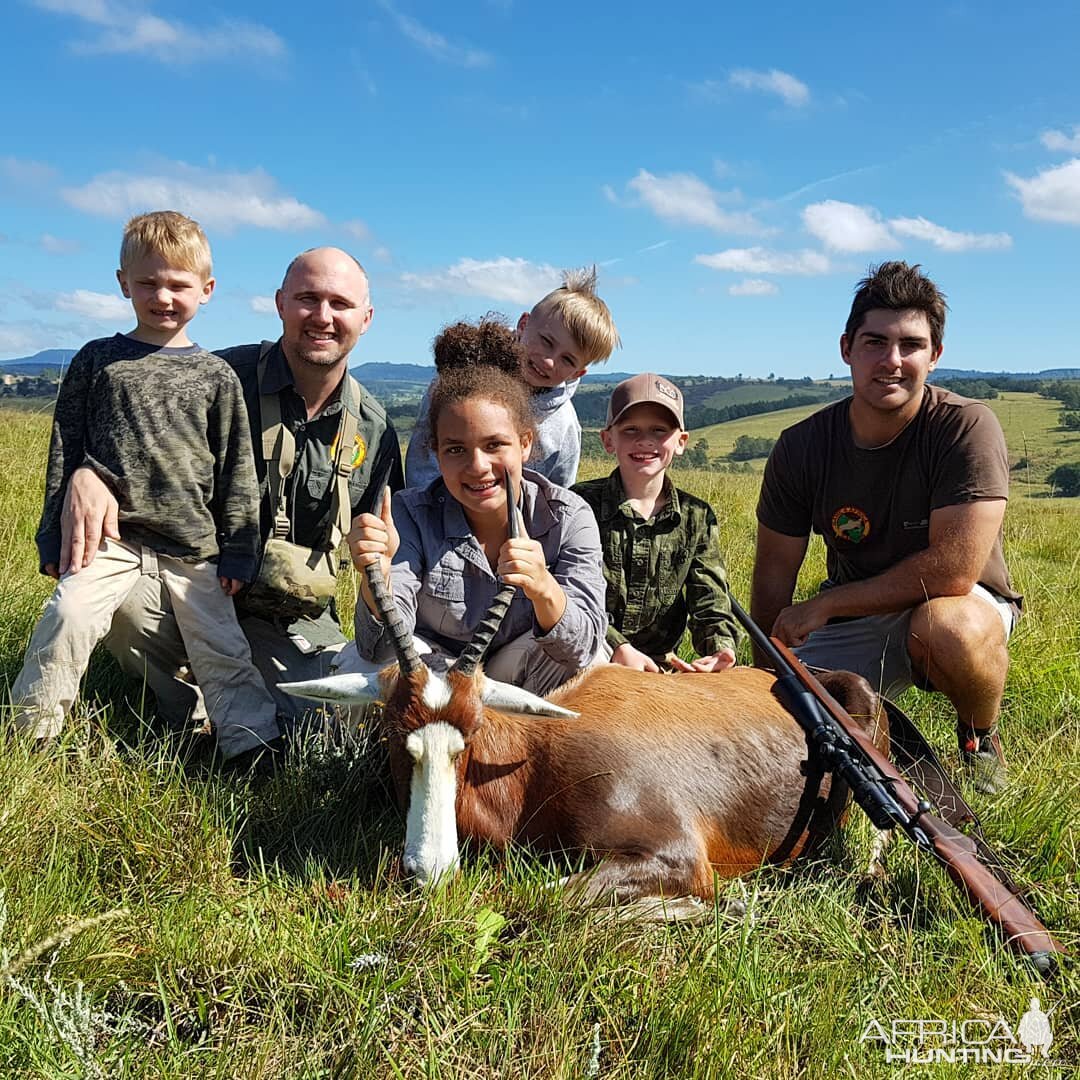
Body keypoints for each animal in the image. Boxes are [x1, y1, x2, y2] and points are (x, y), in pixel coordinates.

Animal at [285, 479, 885, 911]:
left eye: (470, 735)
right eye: (393, 735)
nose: (430, 870)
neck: (538, 760)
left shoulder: (681, 859)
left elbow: (541, 898)